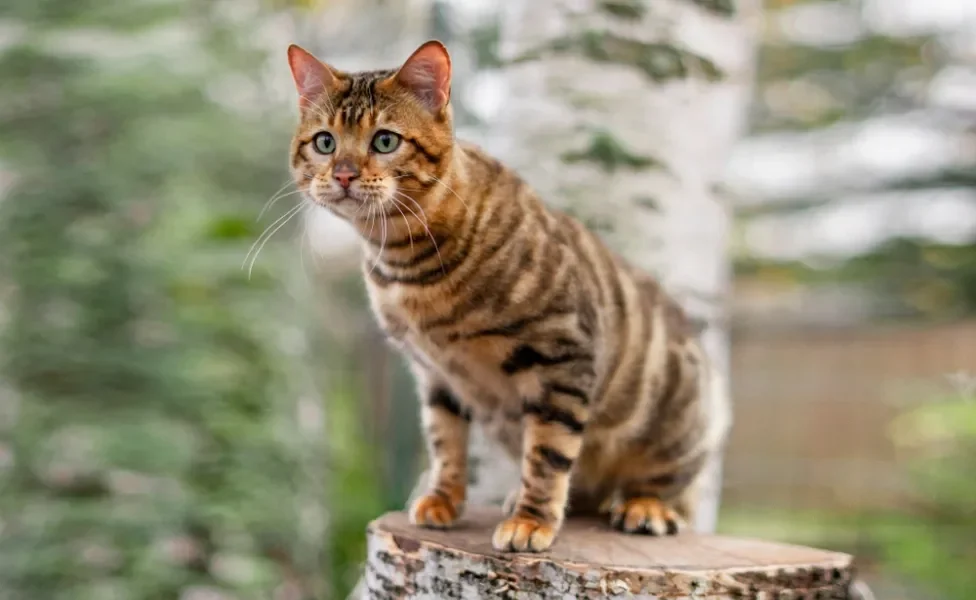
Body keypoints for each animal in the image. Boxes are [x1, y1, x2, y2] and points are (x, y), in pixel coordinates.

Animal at [282, 39, 724, 552]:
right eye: (325, 142)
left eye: (385, 141)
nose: (345, 175)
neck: (407, 266)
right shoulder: (436, 375)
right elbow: (445, 441)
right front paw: (443, 500)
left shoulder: (563, 357)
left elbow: (549, 454)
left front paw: (532, 521)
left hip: (678, 423)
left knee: (672, 488)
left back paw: (645, 507)